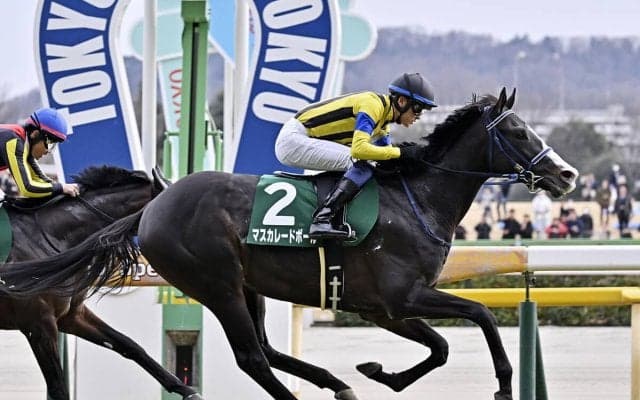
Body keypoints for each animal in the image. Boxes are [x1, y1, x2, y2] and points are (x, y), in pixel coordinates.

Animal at [0, 165, 202, 400]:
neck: (48, 238)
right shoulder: (38, 324)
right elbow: (58, 387)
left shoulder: (71, 316)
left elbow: (128, 345)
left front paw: (186, 389)